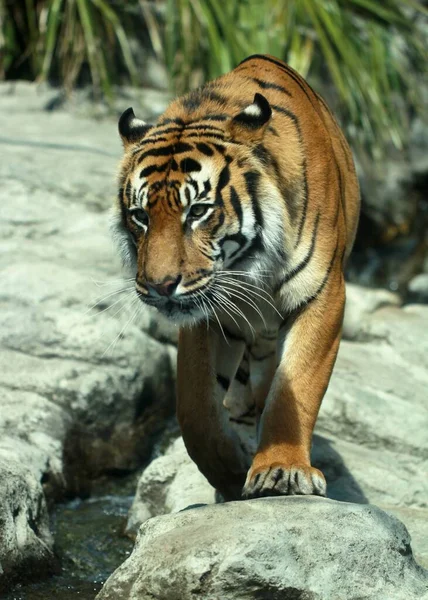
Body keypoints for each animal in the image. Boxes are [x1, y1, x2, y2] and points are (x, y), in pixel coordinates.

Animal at [112, 54, 360, 502]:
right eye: (140, 216)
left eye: (197, 211)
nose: (159, 286)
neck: (247, 269)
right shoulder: (205, 316)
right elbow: (196, 410)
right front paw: (227, 473)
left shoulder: (323, 295)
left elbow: (294, 388)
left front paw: (281, 469)